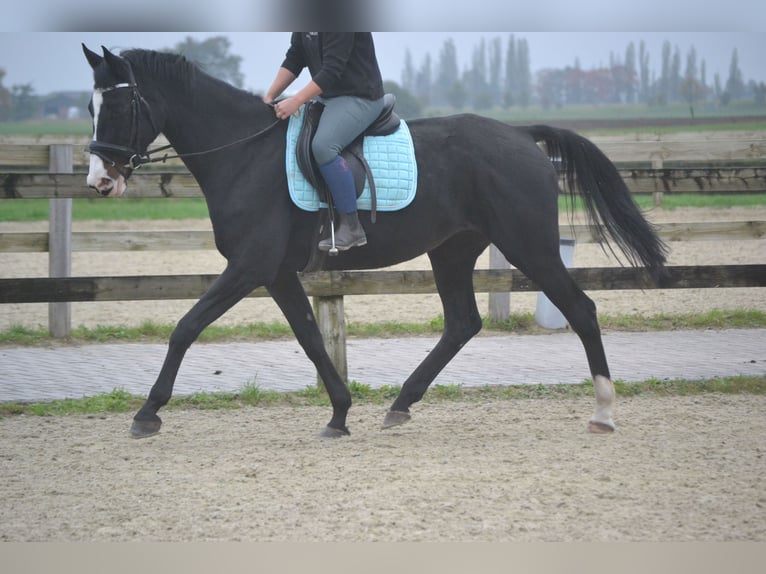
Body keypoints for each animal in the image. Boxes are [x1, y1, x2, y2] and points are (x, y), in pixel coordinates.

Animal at [84, 46, 668, 440]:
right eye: (90, 108)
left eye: (118, 107)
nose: (100, 182)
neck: (244, 154)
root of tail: (522, 135)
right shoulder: (275, 274)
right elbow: (311, 339)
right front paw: (340, 414)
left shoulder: (249, 267)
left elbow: (185, 328)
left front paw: (147, 413)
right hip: (453, 250)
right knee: (463, 323)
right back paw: (401, 403)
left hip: (531, 246)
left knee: (581, 309)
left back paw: (603, 412)